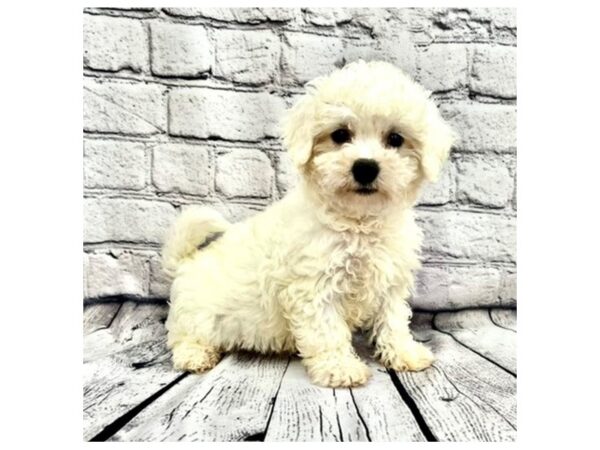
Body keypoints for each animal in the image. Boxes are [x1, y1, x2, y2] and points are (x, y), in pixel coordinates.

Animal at [162, 61, 452, 388]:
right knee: (182, 338)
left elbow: (393, 321)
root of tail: (186, 262)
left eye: (395, 139)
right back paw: (196, 355)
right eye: (340, 135)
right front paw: (340, 368)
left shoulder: (390, 282)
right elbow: (327, 331)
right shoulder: (314, 287)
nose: (365, 167)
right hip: (196, 316)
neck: (359, 223)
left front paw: (405, 353)